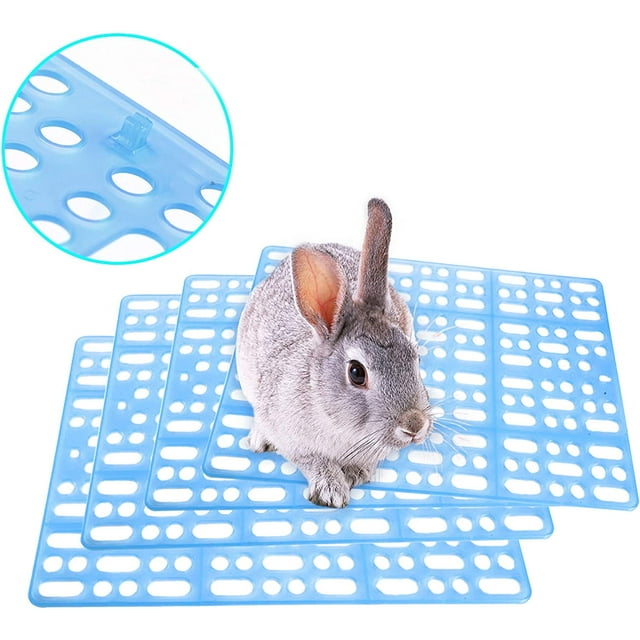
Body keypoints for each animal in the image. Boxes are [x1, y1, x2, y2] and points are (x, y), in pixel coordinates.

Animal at [235, 198, 433, 508]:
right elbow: (313, 461)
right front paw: (331, 491)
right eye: (356, 373)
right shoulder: (296, 441)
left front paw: (354, 475)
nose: (415, 425)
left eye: (416, 357)